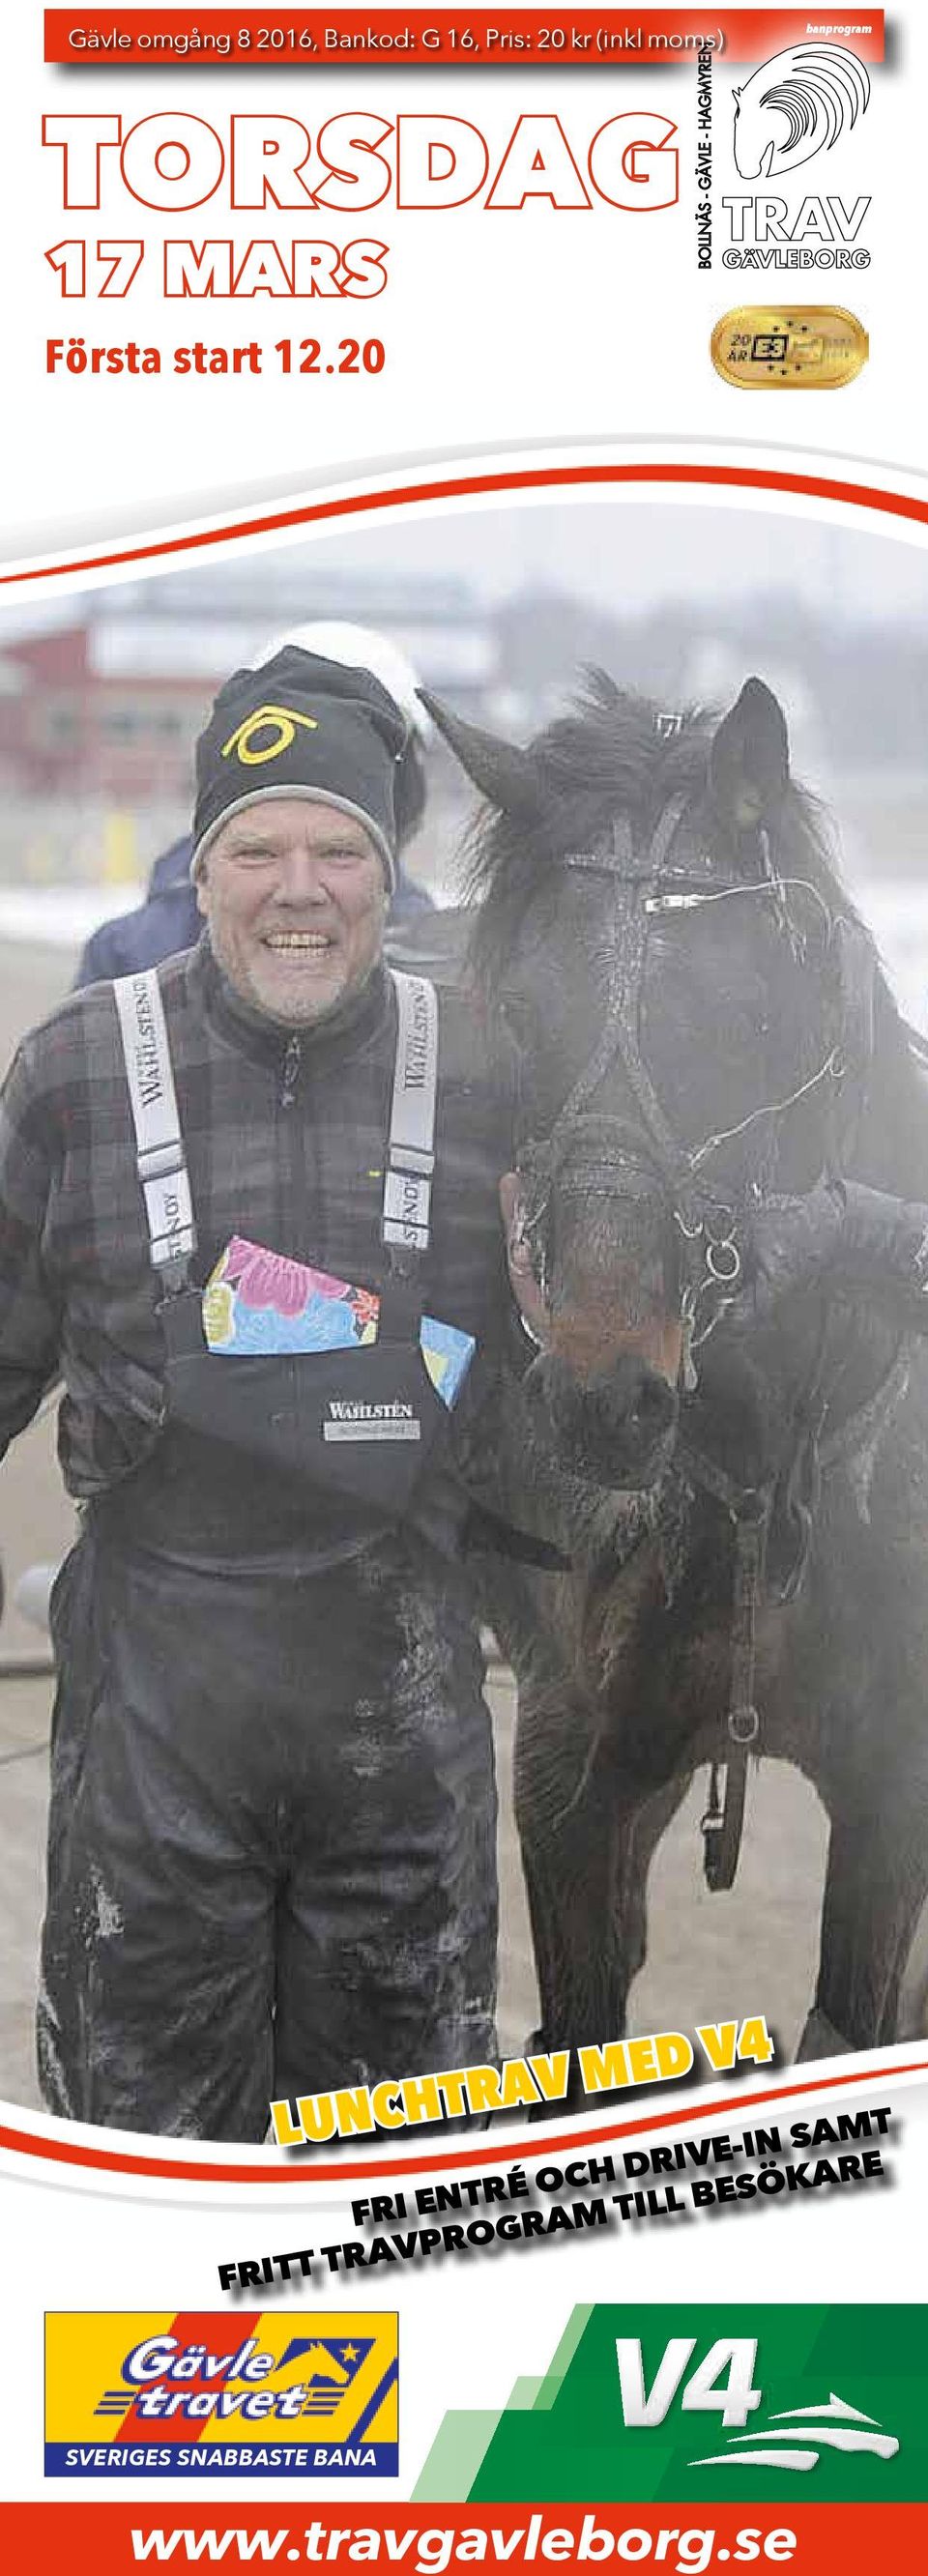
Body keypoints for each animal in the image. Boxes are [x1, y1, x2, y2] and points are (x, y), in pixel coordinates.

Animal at [427, 675, 928, 2061]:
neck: (765, 1462)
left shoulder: (894, 1784)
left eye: (749, 1012)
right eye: (522, 1013)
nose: (603, 1393)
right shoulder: (572, 1768)